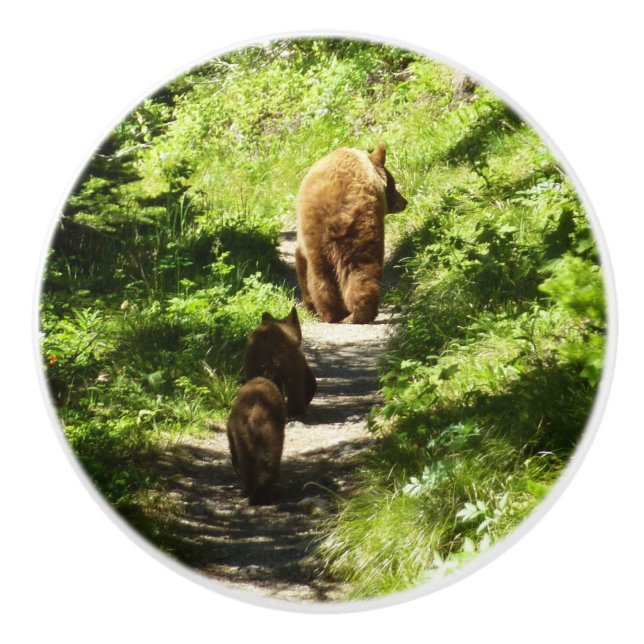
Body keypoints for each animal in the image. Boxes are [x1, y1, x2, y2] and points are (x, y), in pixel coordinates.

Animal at [295, 143, 407, 324]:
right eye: (394, 184)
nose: (404, 202)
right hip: (358, 228)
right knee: (359, 269)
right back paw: (355, 313)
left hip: (325, 235)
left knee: (324, 275)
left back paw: (335, 314)